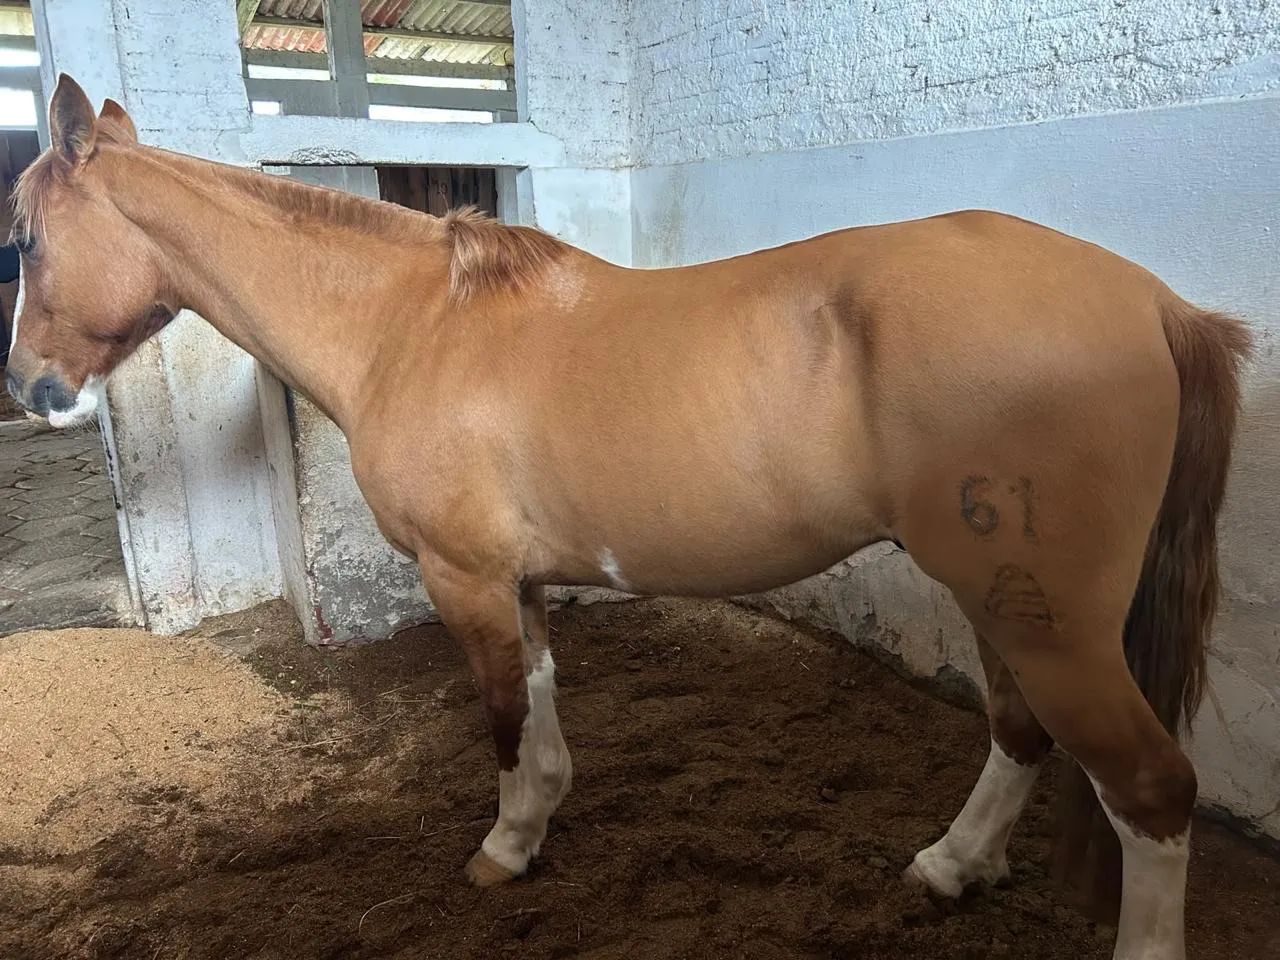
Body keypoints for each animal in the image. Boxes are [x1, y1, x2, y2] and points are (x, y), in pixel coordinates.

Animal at [5, 75, 1252, 960]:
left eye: (22, 239)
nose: (30, 391)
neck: (412, 325)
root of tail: (1155, 303)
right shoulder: (515, 582)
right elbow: (542, 704)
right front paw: (540, 821)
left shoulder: (462, 578)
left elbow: (503, 718)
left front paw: (501, 852)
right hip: (1002, 604)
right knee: (1022, 735)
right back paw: (948, 867)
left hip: (1049, 622)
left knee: (1148, 789)